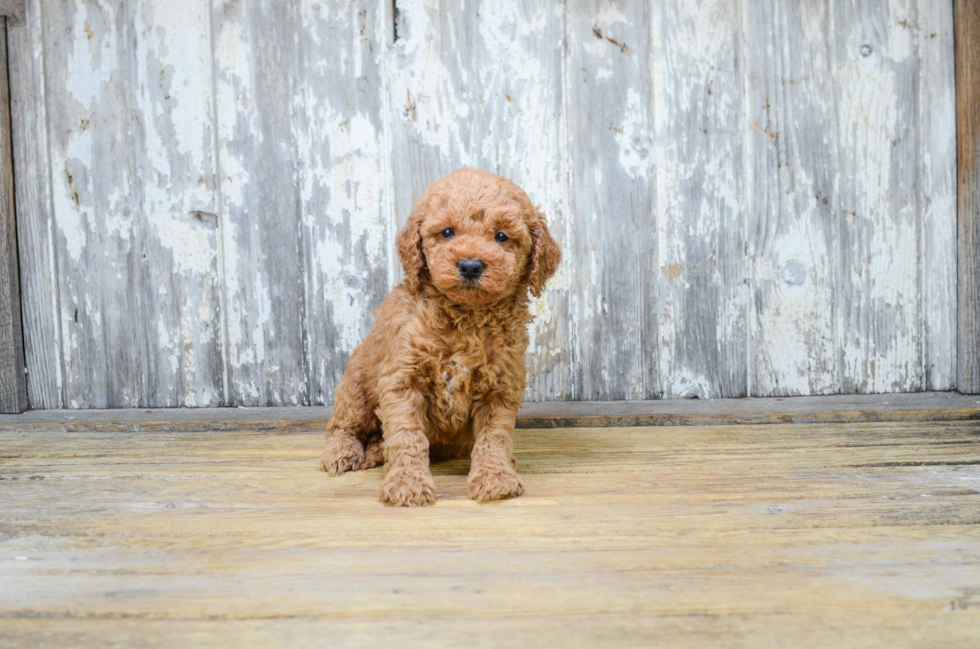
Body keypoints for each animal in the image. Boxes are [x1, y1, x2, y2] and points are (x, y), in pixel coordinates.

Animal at [320, 167, 560, 506]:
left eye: (501, 236)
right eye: (447, 232)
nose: (470, 265)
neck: (466, 317)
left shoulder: (500, 386)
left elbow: (494, 436)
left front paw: (495, 477)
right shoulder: (402, 380)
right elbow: (407, 435)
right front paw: (407, 483)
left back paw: (376, 451)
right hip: (355, 386)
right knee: (343, 427)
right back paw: (343, 453)